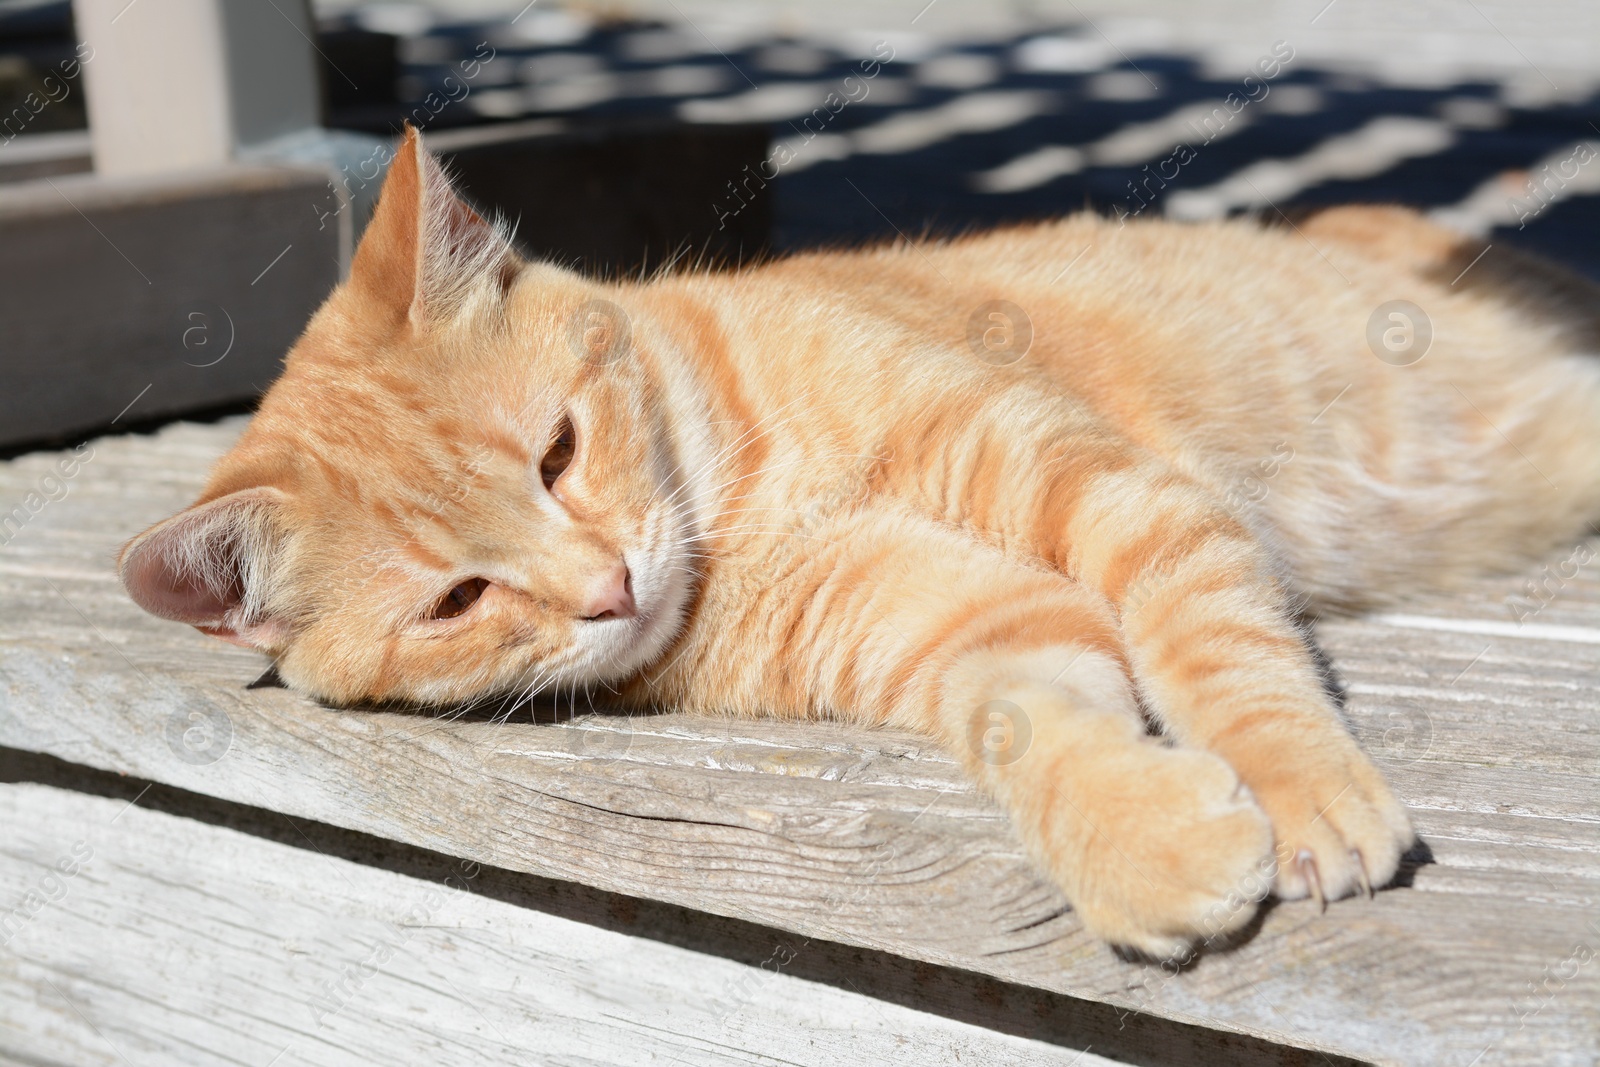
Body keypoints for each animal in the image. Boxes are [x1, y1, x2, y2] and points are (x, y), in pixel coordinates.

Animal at [118, 127, 1600, 959]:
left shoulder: (1108, 490)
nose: (608, 587)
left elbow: (1219, 657)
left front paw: (1304, 792)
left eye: (556, 452)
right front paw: (1147, 852)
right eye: (457, 598)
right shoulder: (971, 621)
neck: (743, 485)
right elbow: (1038, 729)